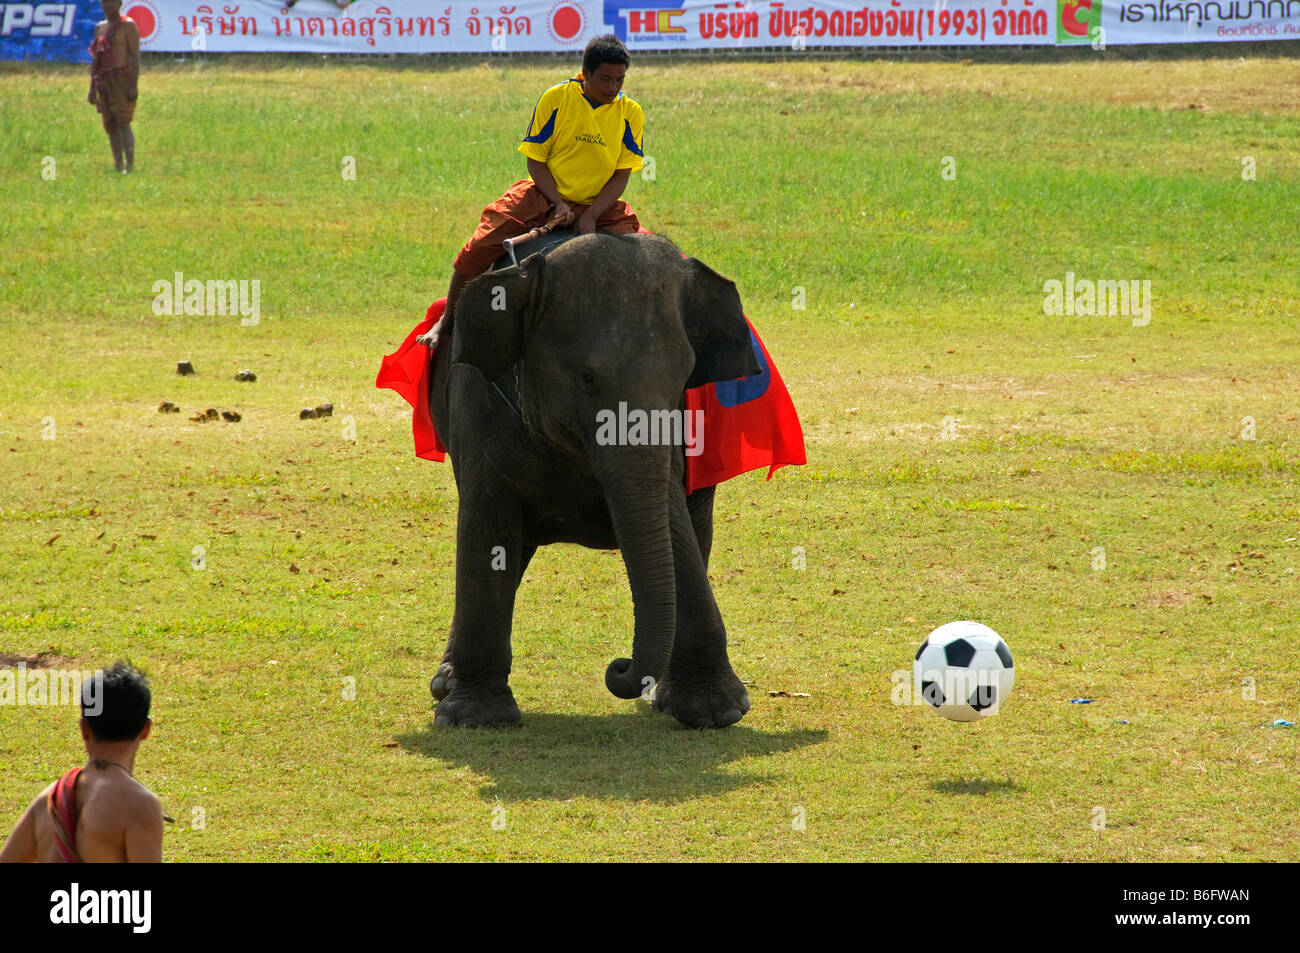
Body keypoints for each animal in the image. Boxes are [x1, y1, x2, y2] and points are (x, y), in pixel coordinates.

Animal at [426, 228, 759, 728]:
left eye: (684, 380)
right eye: (586, 378)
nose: (619, 668)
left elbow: (674, 528)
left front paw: (714, 712)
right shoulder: (477, 403)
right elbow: (486, 530)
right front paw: (472, 717)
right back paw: (445, 684)